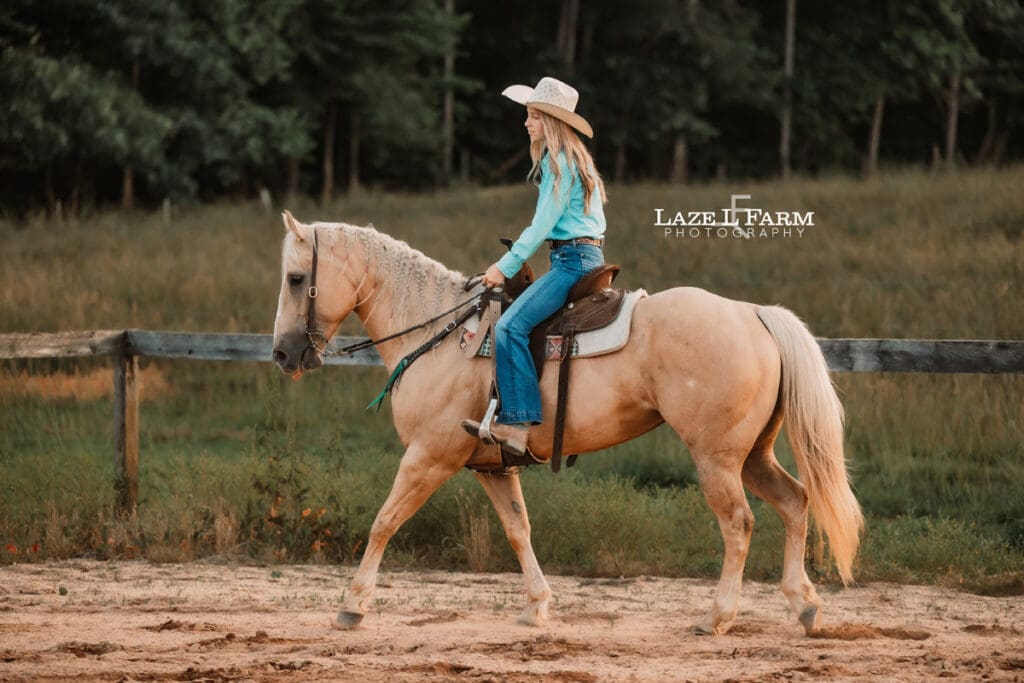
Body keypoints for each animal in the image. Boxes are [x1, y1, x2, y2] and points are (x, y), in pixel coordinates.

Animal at [271, 210, 863, 636]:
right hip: (753, 454)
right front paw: (537, 606)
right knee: (795, 502)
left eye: (297, 278)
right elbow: (518, 530)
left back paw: (716, 617)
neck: (440, 334)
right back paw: (804, 606)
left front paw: (352, 606)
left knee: (739, 524)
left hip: (717, 458)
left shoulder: (429, 455)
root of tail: (753, 313)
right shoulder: (493, 467)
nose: (282, 354)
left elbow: (384, 522)